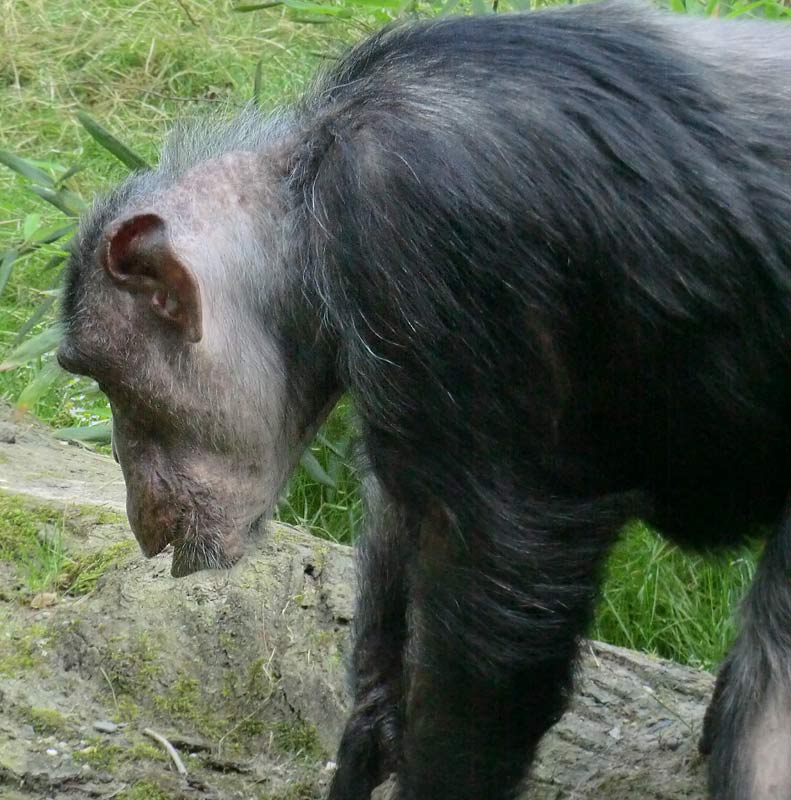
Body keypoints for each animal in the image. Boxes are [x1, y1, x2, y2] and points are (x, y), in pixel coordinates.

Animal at [58, 3, 791, 796]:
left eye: (105, 379)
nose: (136, 498)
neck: (311, 206)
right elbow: (406, 510)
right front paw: (374, 723)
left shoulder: (429, 235)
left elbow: (500, 583)